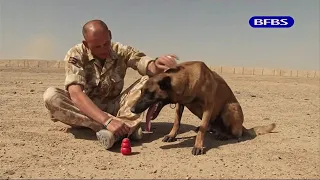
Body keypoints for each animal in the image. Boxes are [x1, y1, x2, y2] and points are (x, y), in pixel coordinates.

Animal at [130, 60, 276, 155]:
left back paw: (224, 135)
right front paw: (171, 135)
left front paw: (198, 145)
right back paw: (214, 130)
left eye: (149, 93)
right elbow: (177, 121)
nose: (132, 110)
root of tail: (242, 126)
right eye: (141, 91)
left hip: (229, 108)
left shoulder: (208, 107)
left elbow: (203, 128)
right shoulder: (180, 104)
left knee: (237, 133)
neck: (187, 78)